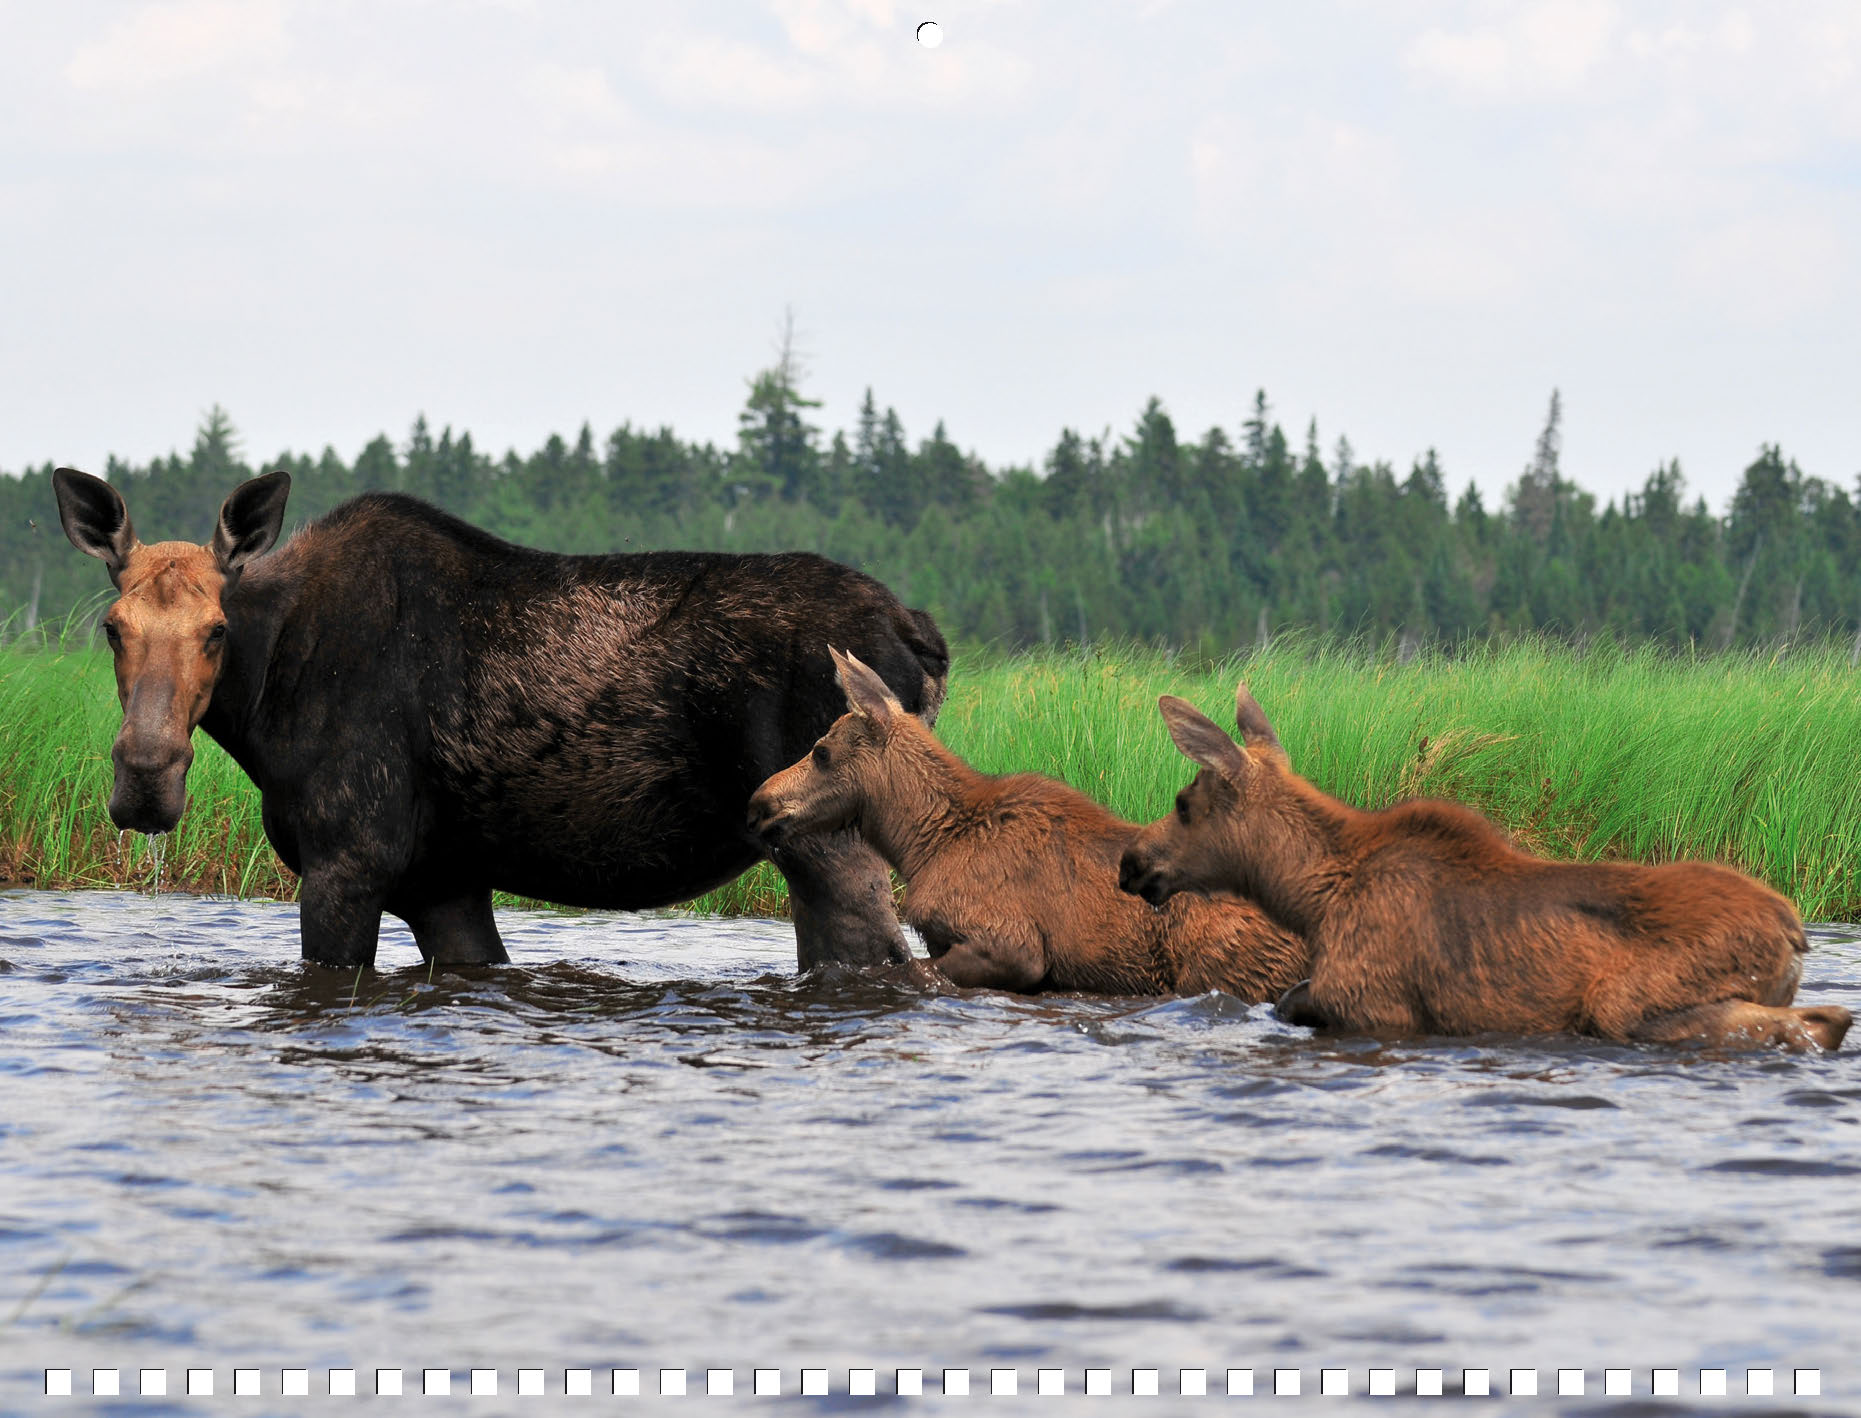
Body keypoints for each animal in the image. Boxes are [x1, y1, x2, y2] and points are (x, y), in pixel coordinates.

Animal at [1117, 685, 1851, 1051]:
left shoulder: (1371, 1002)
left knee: (1814, 1022)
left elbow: (1290, 1001)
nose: (1130, 861)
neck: (1310, 897)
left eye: (1182, 804)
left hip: (1628, 1003)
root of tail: (1794, 931)